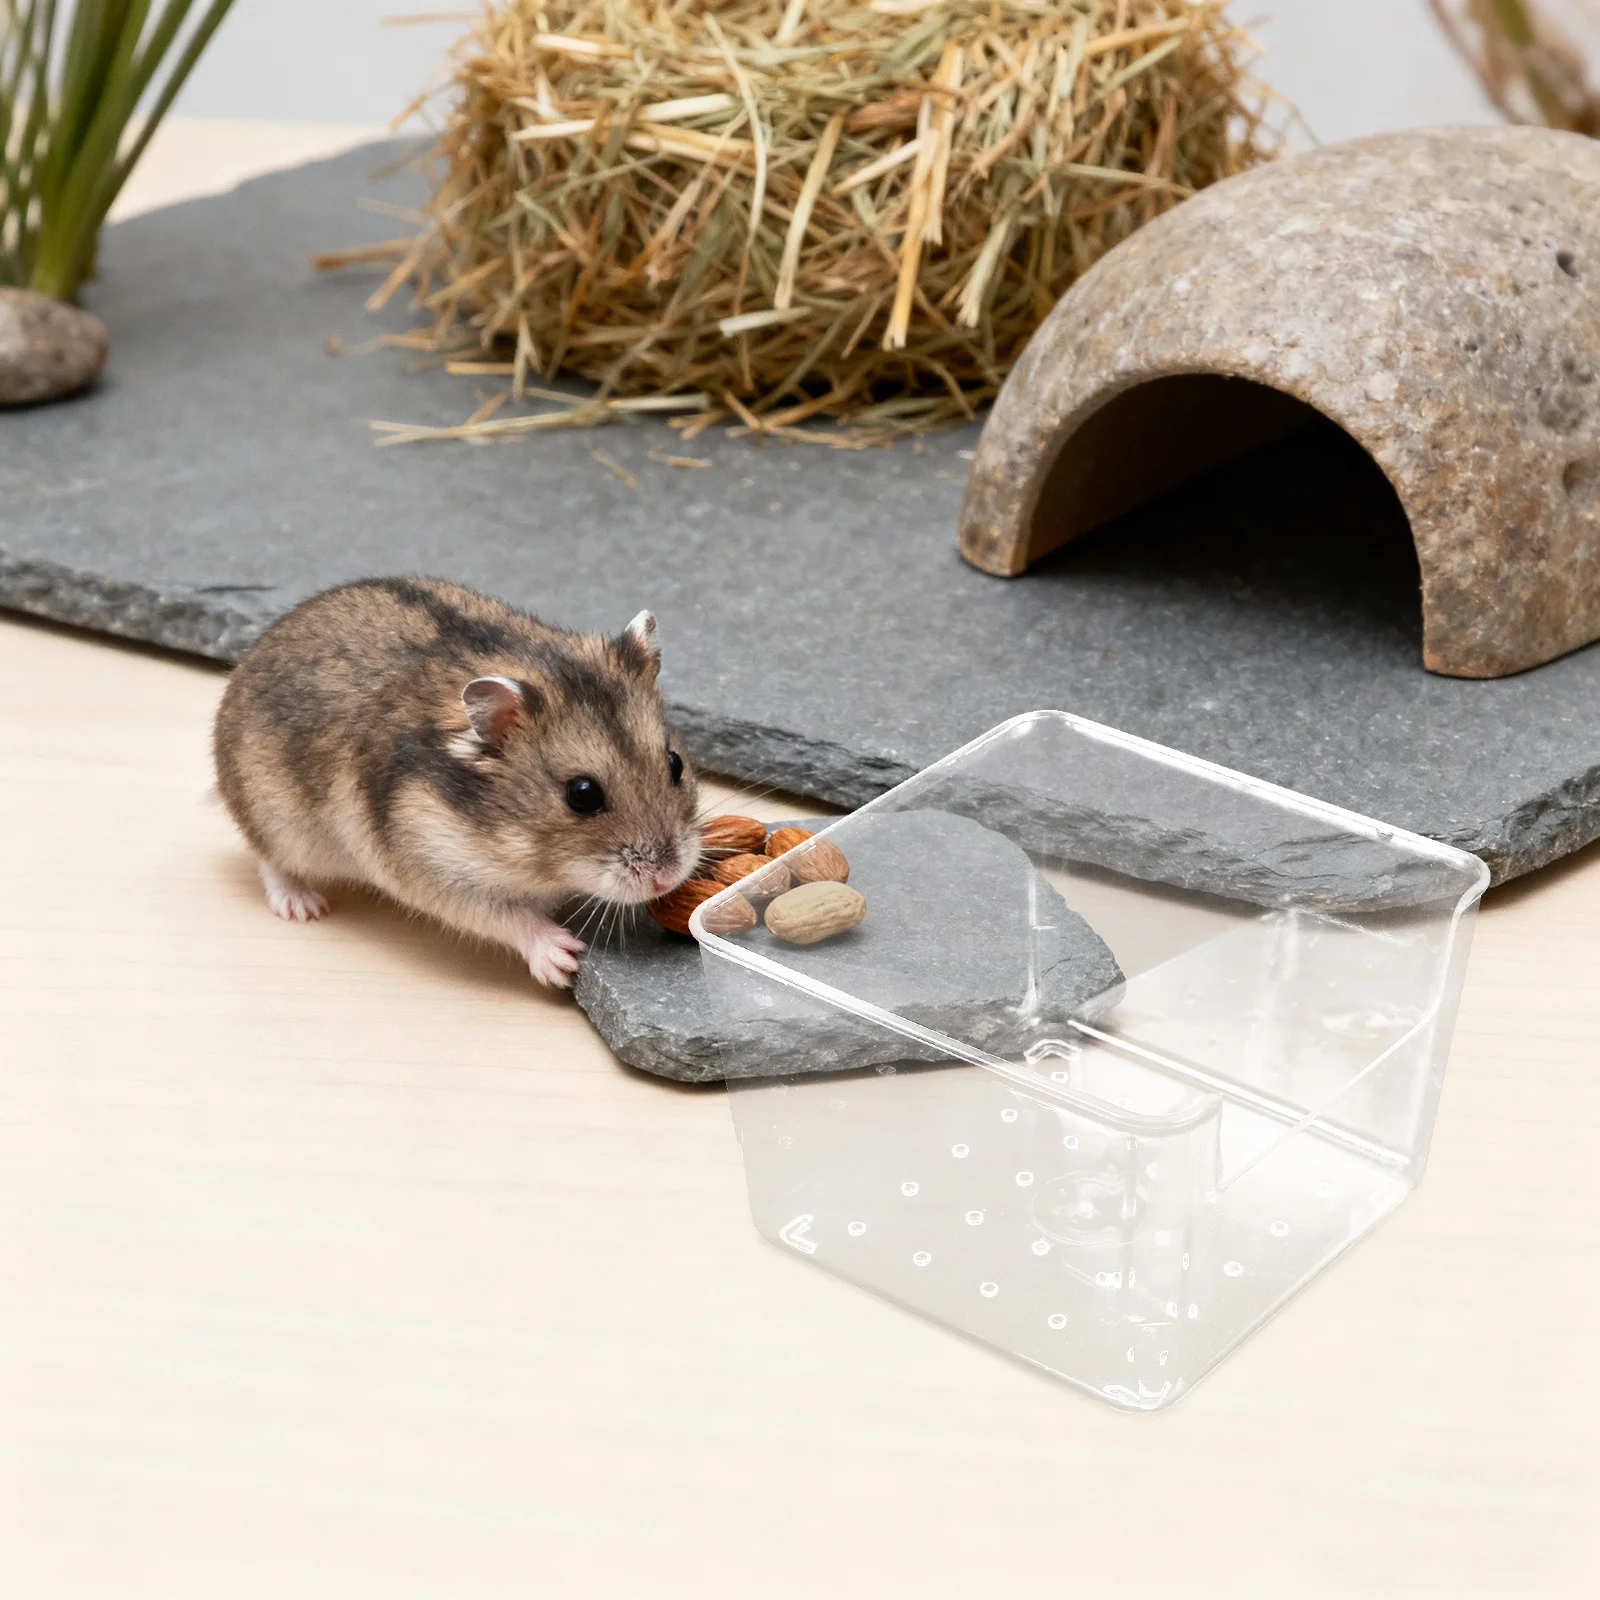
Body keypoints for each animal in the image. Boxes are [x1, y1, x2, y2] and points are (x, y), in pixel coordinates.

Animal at [212, 576, 703, 987]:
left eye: (675, 762)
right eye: (582, 795)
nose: (667, 879)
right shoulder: (434, 868)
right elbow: (504, 916)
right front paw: (564, 959)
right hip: (278, 822)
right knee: (270, 861)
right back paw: (305, 907)